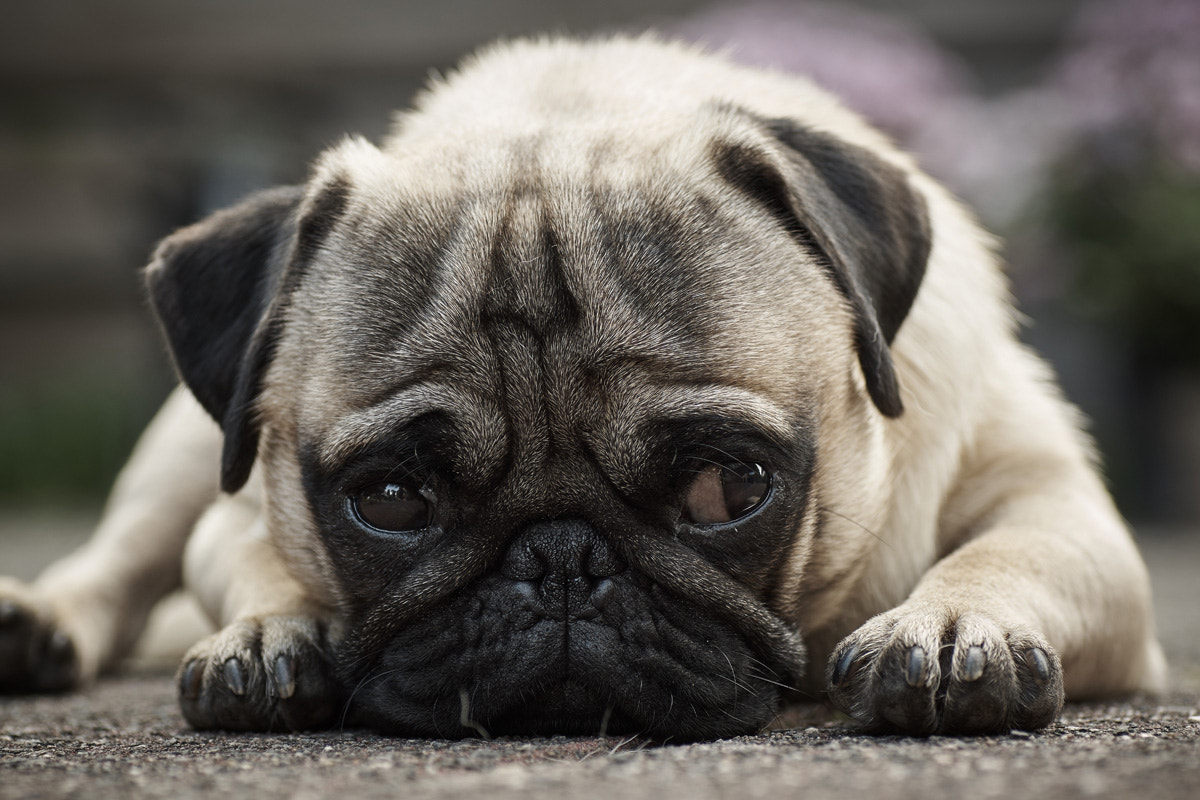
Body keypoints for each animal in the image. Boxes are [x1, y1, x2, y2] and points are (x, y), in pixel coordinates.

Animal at [0, 35, 1166, 738]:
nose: (559, 559)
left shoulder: (1058, 507)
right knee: (119, 560)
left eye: (728, 487)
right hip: (177, 455)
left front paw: (952, 627)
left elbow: (1010, 547)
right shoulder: (237, 510)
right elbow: (257, 564)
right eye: (391, 500)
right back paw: (40, 623)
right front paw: (273, 633)